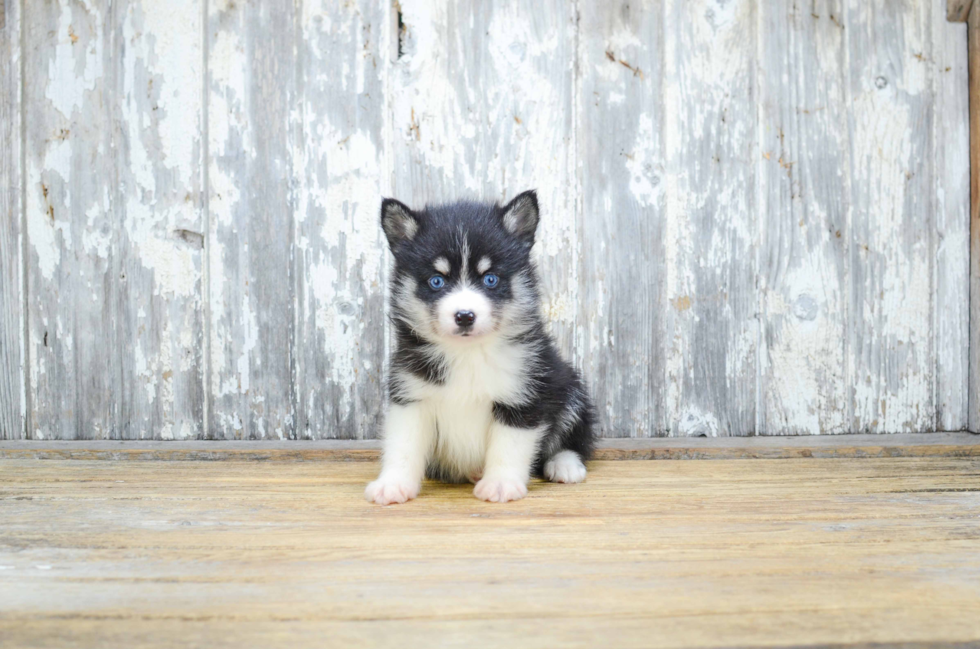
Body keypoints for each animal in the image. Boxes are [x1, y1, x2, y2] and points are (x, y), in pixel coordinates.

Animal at [364, 190, 596, 504]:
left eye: (490, 279)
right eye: (436, 281)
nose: (464, 316)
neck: (468, 353)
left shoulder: (522, 396)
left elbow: (508, 447)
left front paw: (501, 484)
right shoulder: (411, 394)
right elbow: (403, 445)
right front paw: (393, 484)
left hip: (569, 387)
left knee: (575, 438)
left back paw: (565, 464)